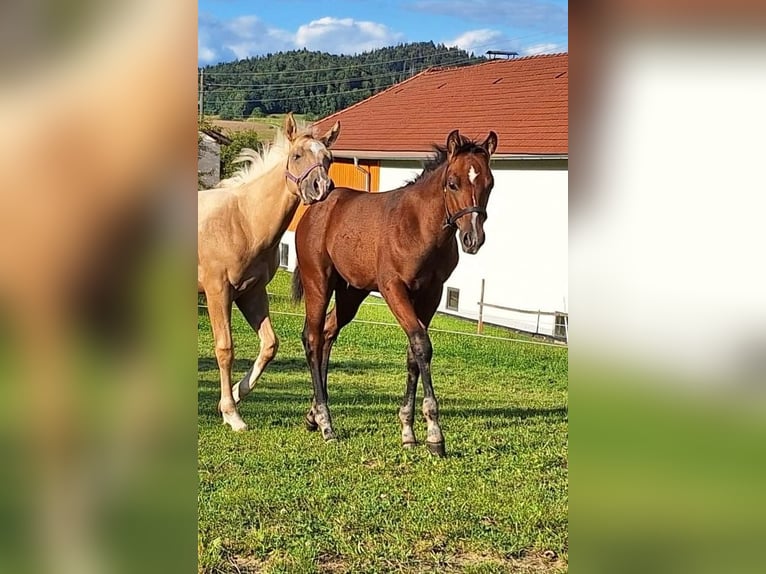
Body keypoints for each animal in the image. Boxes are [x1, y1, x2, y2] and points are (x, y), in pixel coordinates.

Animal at [198, 113, 341, 431]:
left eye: (328, 159)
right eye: (297, 155)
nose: (321, 188)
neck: (243, 221)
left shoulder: (251, 292)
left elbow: (269, 345)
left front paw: (234, 396)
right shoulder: (217, 291)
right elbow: (225, 349)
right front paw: (232, 414)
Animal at [291, 129, 497, 456]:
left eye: (489, 183)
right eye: (453, 183)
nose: (472, 238)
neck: (420, 227)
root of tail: (316, 208)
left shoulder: (431, 294)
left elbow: (414, 352)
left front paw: (408, 431)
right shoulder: (393, 289)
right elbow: (421, 344)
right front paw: (435, 435)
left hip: (351, 293)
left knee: (327, 333)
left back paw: (313, 415)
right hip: (319, 283)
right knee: (312, 337)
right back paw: (325, 423)